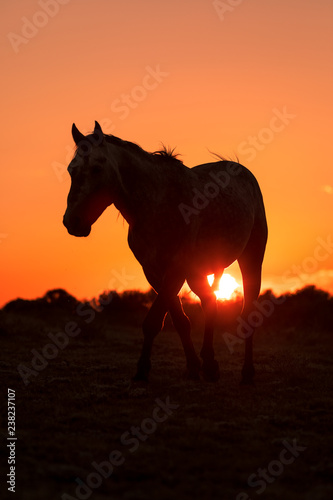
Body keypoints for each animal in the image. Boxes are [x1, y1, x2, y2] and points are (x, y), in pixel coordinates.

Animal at [63, 121, 268, 382]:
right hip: (197, 274)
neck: (158, 203)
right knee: (210, 302)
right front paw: (193, 366)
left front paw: (142, 369)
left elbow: (153, 321)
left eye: (97, 169)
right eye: (71, 170)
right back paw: (210, 364)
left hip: (250, 259)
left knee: (247, 311)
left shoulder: (175, 269)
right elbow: (179, 320)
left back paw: (247, 372)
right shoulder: (154, 272)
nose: (72, 222)